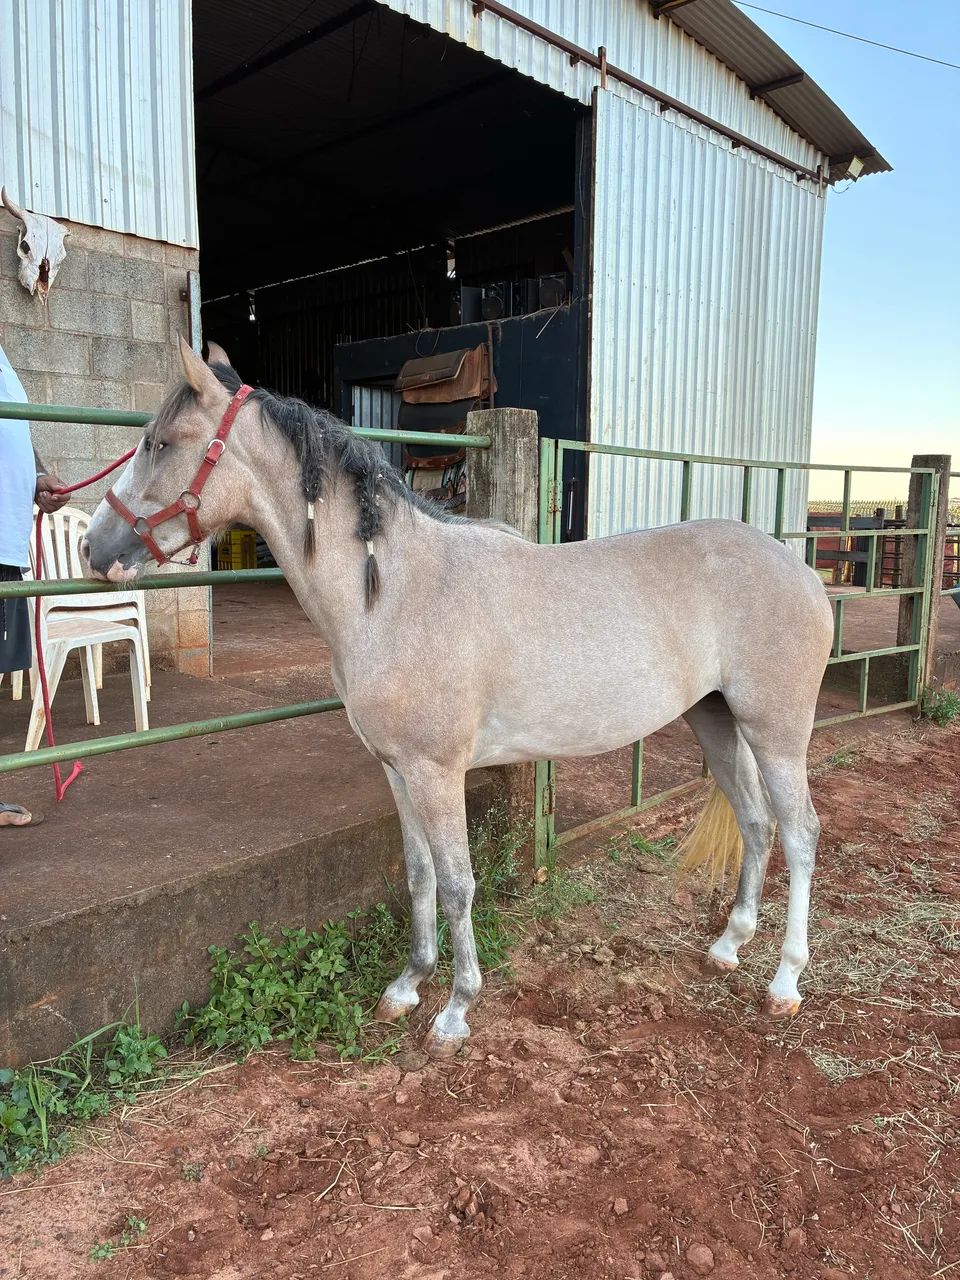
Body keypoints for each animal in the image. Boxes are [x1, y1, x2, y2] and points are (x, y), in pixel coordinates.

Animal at [81, 337, 834, 1058]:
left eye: (161, 443)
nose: (94, 547)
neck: (395, 593)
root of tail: (798, 566)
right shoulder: (397, 770)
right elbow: (417, 875)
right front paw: (407, 985)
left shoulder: (438, 772)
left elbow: (456, 883)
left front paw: (455, 1011)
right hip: (717, 721)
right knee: (756, 823)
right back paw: (728, 946)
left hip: (775, 730)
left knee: (799, 833)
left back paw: (784, 981)